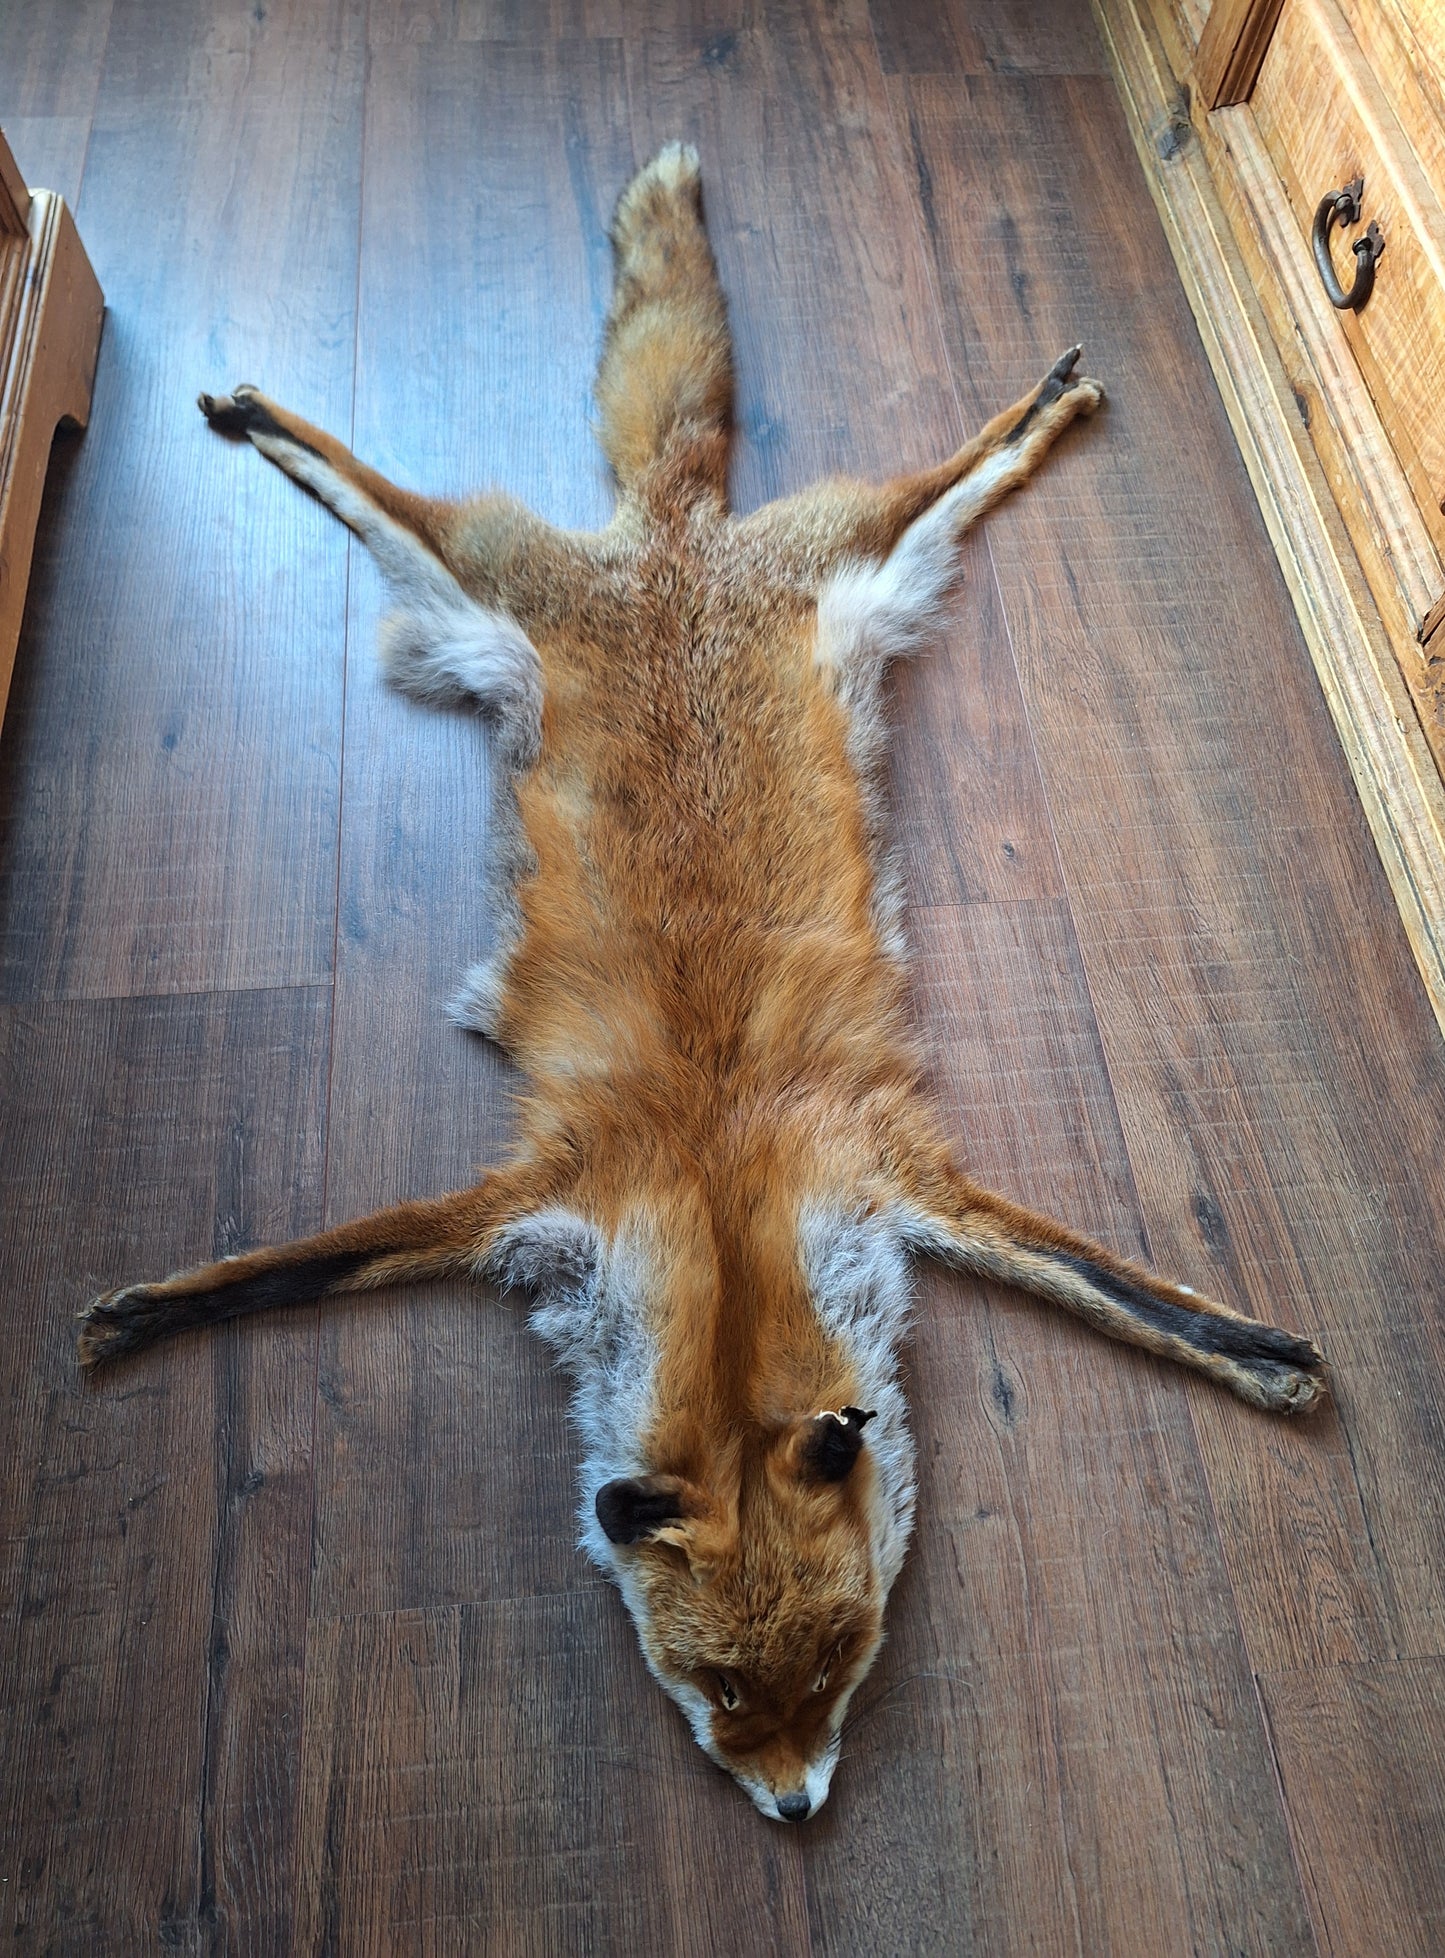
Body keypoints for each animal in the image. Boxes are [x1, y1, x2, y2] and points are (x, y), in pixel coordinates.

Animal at [76, 144, 1327, 1823]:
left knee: (954, 465)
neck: (723, 1184)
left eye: (840, 1663)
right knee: (387, 488)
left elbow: (1128, 1291)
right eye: (721, 1690)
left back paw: (1043, 399)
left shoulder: (893, 1172)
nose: (798, 1813)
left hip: (856, 556)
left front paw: (1260, 1354)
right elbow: (292, 1265)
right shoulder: (542, 1185)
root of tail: (676, 546)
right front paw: (155, 1308)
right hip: (497, 583)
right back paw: (269, 414)